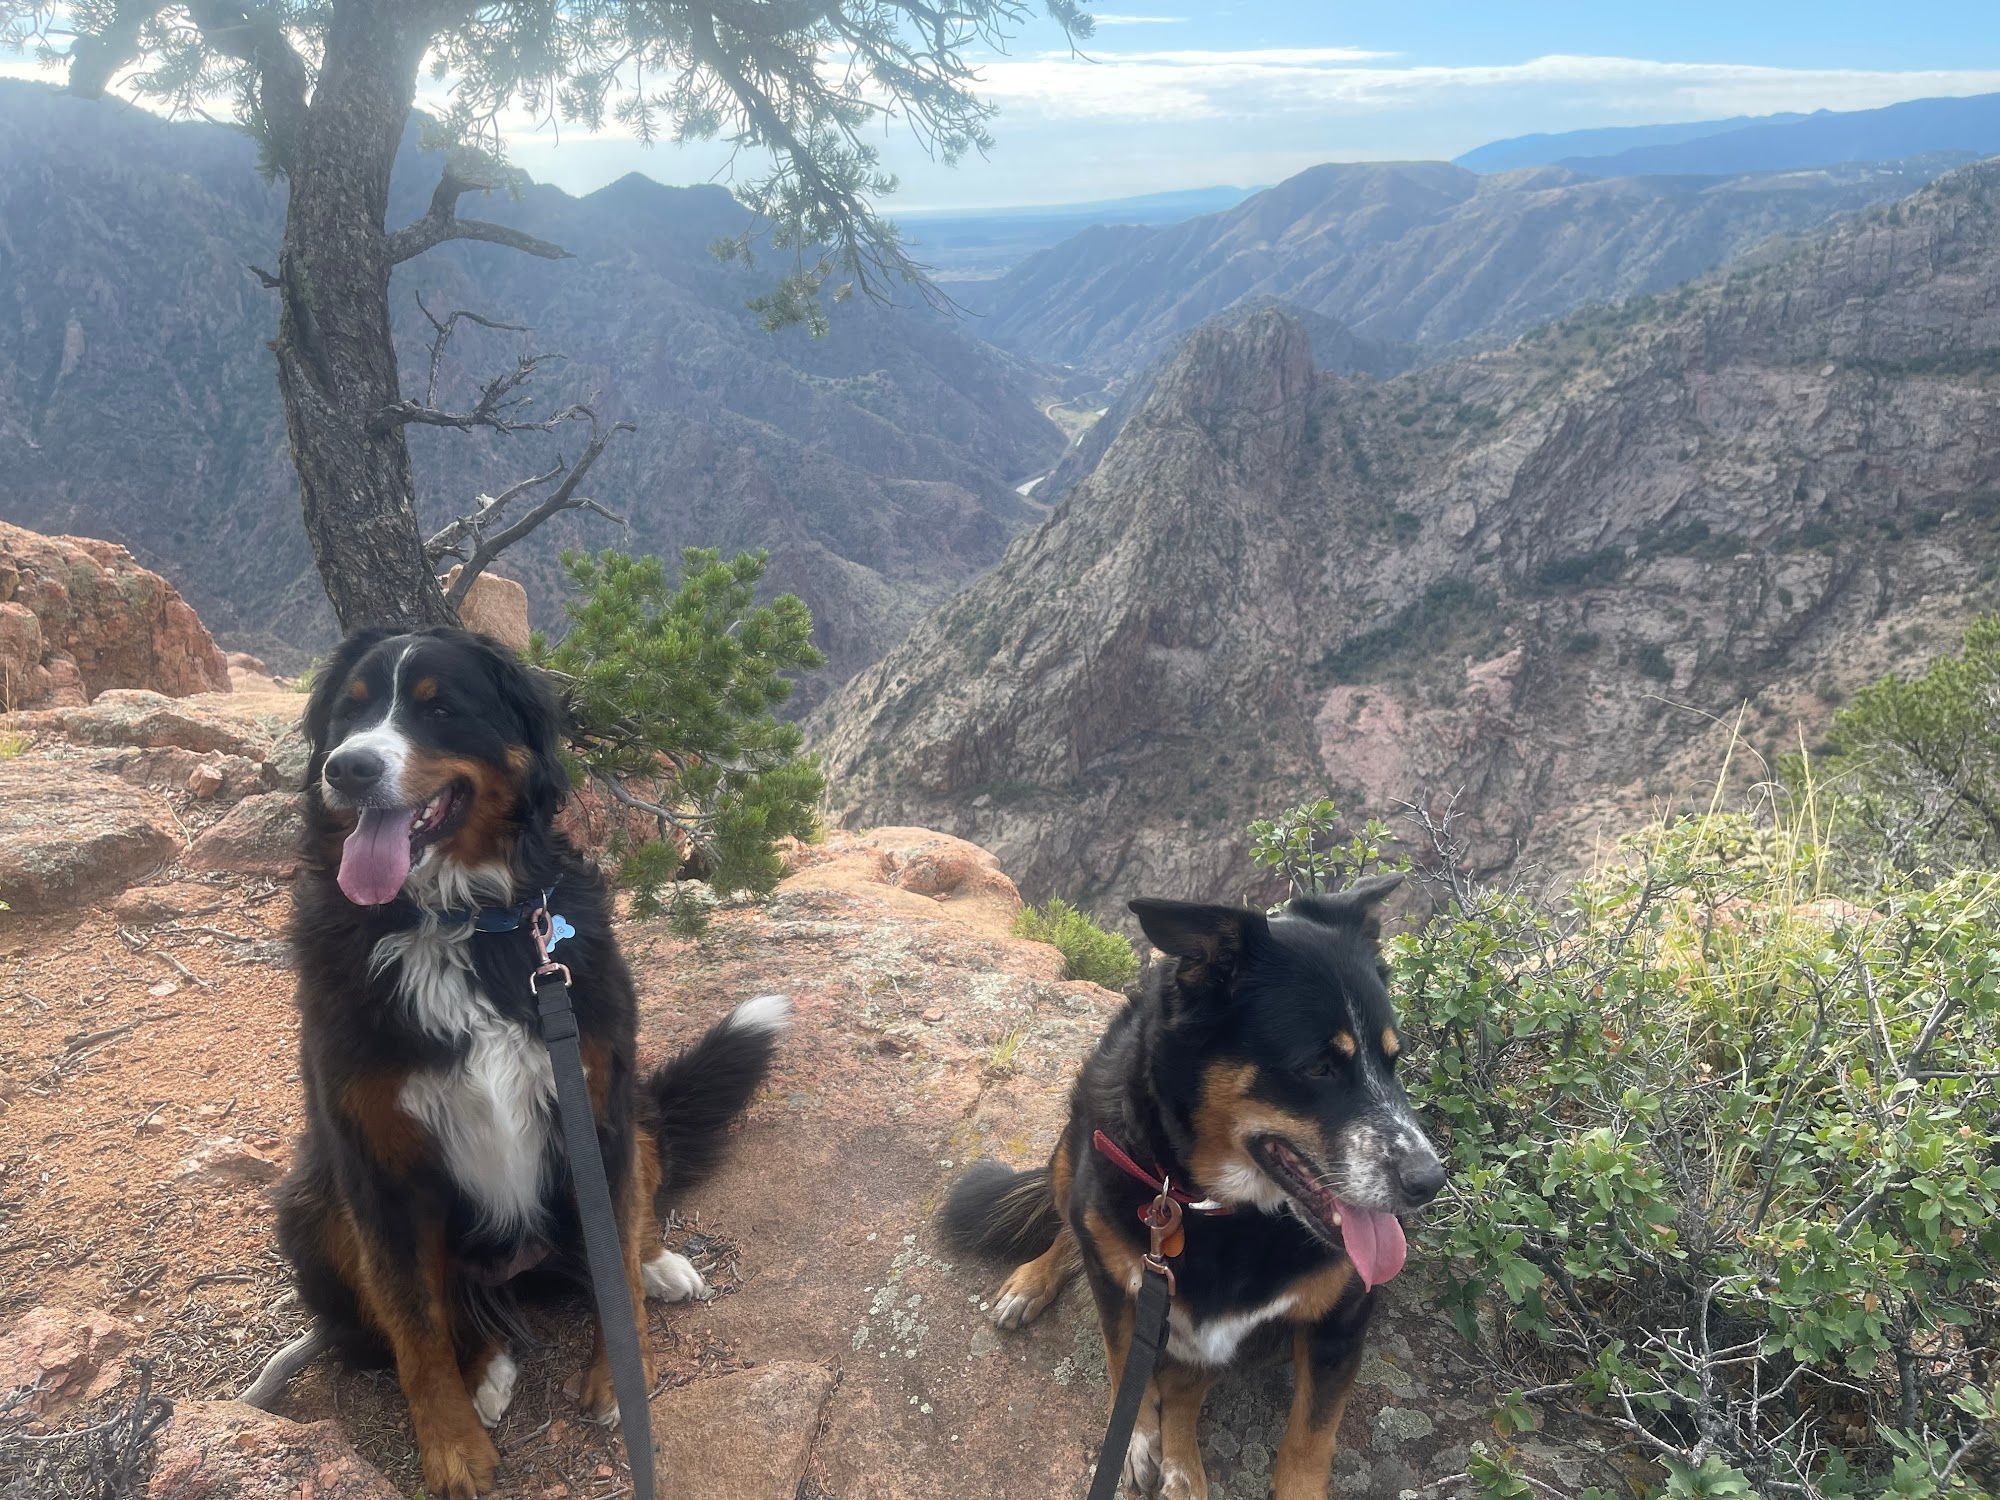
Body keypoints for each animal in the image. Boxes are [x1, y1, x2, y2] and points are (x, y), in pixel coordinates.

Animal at [276, 628, 788, 1496]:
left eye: (439, 707)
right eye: (348, 712)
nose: (346, 768)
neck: (458, 924)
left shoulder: (597, 1103)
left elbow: (615, 1262)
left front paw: (620, 1371)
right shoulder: (377, 1160)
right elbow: (415, 1327)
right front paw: (450, 1448)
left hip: (631, 1115)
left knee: (627, 1229)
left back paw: (660, 1267)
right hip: (314, 1204)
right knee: (431, 1310)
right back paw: (485, 1368)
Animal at [944, 880, 1448, 1500]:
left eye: (1395, 1060)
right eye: (1318, 1067)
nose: (1430, 1182)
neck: (1220, 1209)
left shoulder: (1342, 1318)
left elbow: (1306, 1442)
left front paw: (1175, 1452)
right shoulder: (1125, 1286)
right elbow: (1122, 1359)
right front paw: (1133, 1438)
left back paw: (1183, 1470)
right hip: (1076, 1149)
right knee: (1073, 1224)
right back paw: (1033, 1280)